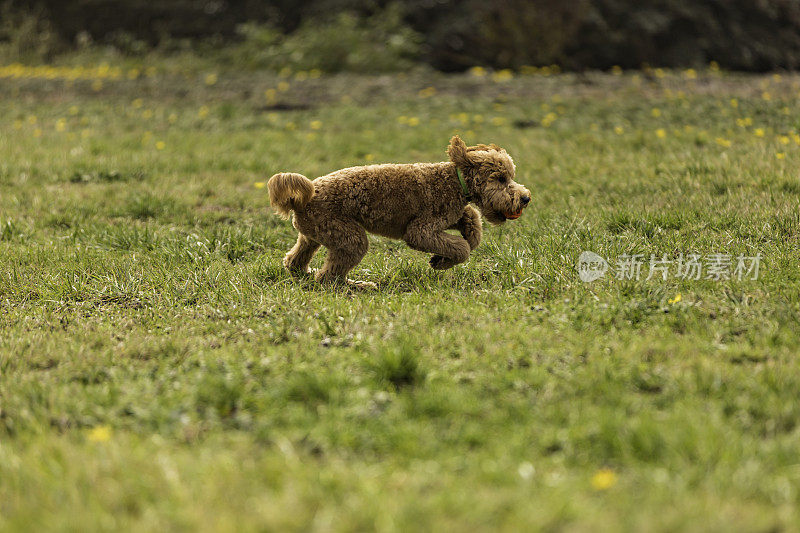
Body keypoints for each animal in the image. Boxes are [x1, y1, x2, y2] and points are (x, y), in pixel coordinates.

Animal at [268, 136, 532, 286]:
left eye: (510, 176)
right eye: (500, 178)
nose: (525, 198)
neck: (454, 181)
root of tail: (305, 197)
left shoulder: (449, 216)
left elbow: (472, 220)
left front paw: (444, 256)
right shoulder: (421, 230)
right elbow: (462, 248)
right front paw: (441, 261)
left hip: (314, 234)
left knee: (294, 262)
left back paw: (307, 274)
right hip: (349, 237)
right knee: (328, 279)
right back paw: (357, 286)